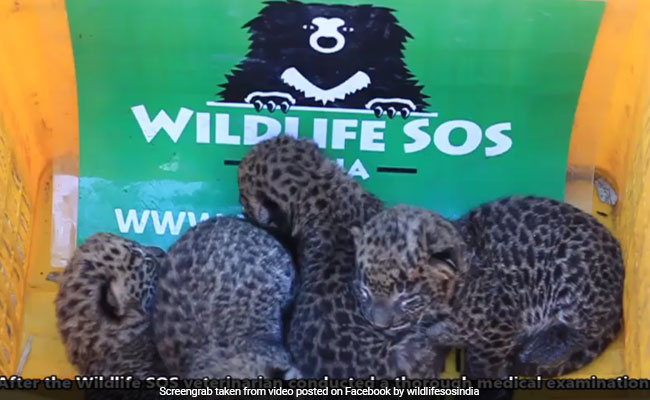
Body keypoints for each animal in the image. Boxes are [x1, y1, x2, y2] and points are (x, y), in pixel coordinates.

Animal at [352, 197, 624, 384]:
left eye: (405, 295)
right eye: (365, 290)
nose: (379, 324)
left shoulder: (497, 331)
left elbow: (482, 368)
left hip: (573, 274)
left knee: (578, 331)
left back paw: (531, 353)